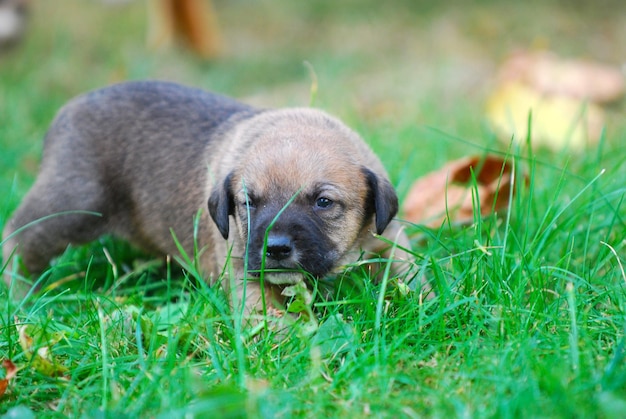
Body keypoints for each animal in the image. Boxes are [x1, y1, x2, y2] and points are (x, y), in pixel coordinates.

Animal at [3, 79, 414, 316]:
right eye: (248, 203)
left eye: (323, 203)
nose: (276, 248)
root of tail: (65, 113)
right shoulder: (243, 272)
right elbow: (272, 318)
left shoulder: (388, 240)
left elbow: (407, 275)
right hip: (72, 205)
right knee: (20, 238)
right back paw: (21, 295)